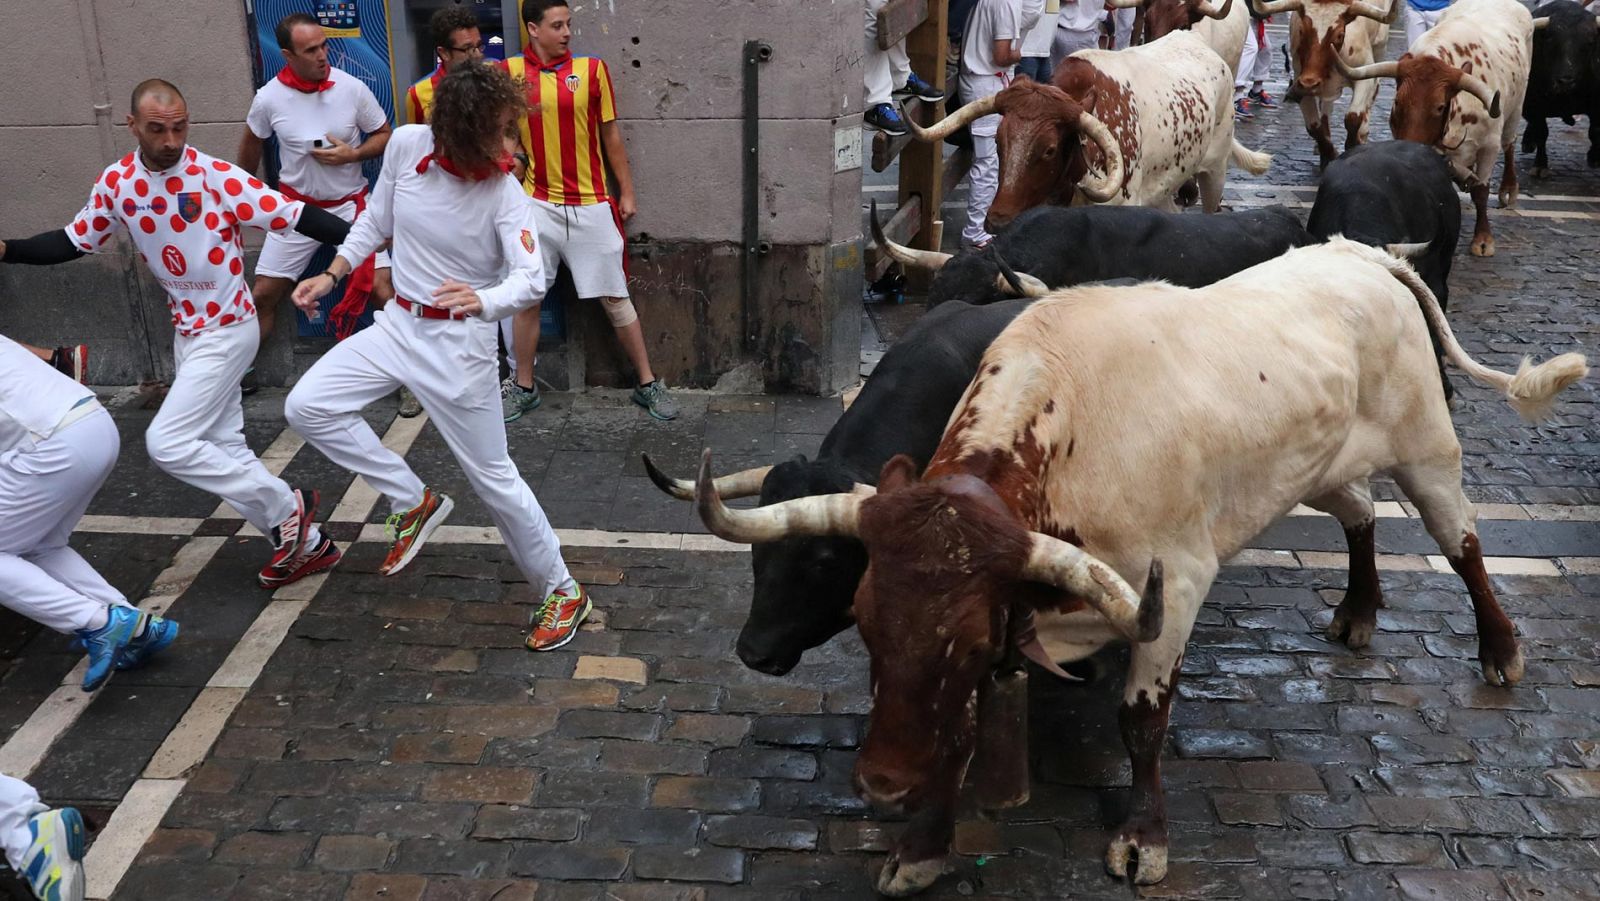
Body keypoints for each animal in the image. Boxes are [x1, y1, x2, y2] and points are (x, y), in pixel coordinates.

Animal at [691, 240, 1587, 896]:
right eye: (868, 620)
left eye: (821, 568)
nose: (879, 783)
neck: (1063, 435)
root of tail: (1360, 252)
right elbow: (961, 727)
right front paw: (922, 842)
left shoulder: (1173, 589)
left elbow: (1141, 721)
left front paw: (1140, 837)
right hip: (1320, 465)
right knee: (1361, 513)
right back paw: (1359, 610)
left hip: (1430, 452)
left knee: (1462, 545)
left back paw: (1500, 649)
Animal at [1254, 0, 1395, 165]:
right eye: (1302, 31)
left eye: (1340, 35)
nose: (1310, 82)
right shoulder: (1300, 82)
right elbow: (1314, 127)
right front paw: (1328, 155)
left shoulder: (1363, 74)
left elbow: (1353, 116)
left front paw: (1354, 145)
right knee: (1326, 107)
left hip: (1380, 49)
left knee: (1373, 93)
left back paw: (1364, 131)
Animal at [1337, 0, 1536, 256]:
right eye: (1397, 101)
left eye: (1440, 107)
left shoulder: (1489, 147)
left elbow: (1481, 191)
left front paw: (1483, 239)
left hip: (1516, 109)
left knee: (1509, 144)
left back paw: (1509, 188)